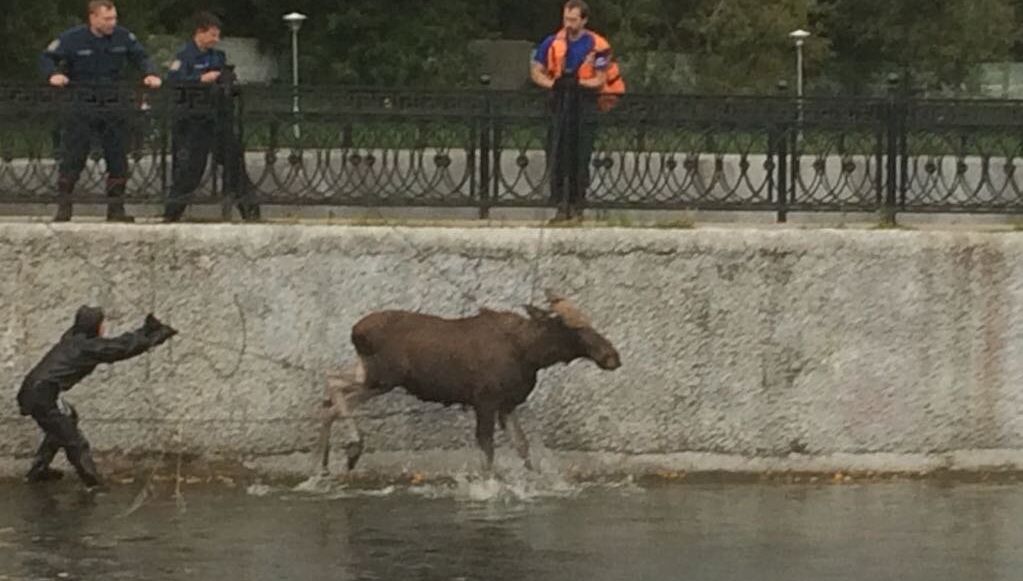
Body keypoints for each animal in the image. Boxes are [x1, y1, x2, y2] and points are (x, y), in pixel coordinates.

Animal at [317, 290, 621, 476]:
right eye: (574, 328)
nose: (612, 356)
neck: (531, 355)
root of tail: (355, 331)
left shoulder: (506, 404)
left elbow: (522, 446)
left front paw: (534, 481)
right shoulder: (485, 401)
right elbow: (487, 451)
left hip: (375, 376)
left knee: (331, 392)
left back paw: (329, 462)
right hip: (382, 377)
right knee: (333, 388)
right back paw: (350, 448)